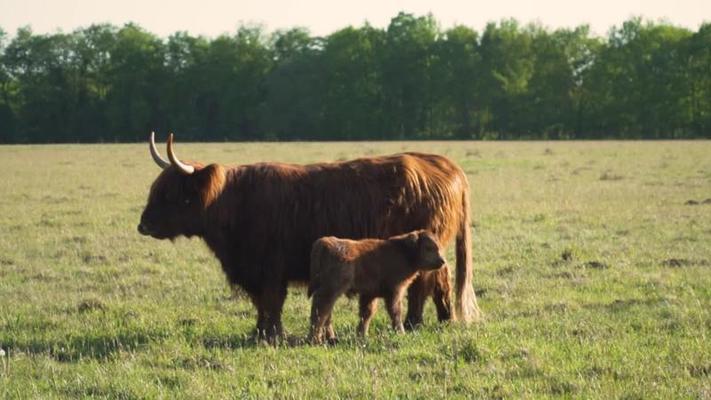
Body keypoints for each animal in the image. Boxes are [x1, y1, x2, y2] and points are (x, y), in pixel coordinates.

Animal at [136, 133, 482, 340]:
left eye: (171, 194)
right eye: (156, 189)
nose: (143, 225)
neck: (234, 202)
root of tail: (444, 164)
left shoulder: (269, 268)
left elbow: (271, 302)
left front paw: (270, 336)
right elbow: (262, 304)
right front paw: (260, 333)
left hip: (424, 249)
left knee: (424, 284)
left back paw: (413, 324)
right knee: (441, 279)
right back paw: (443, 320)